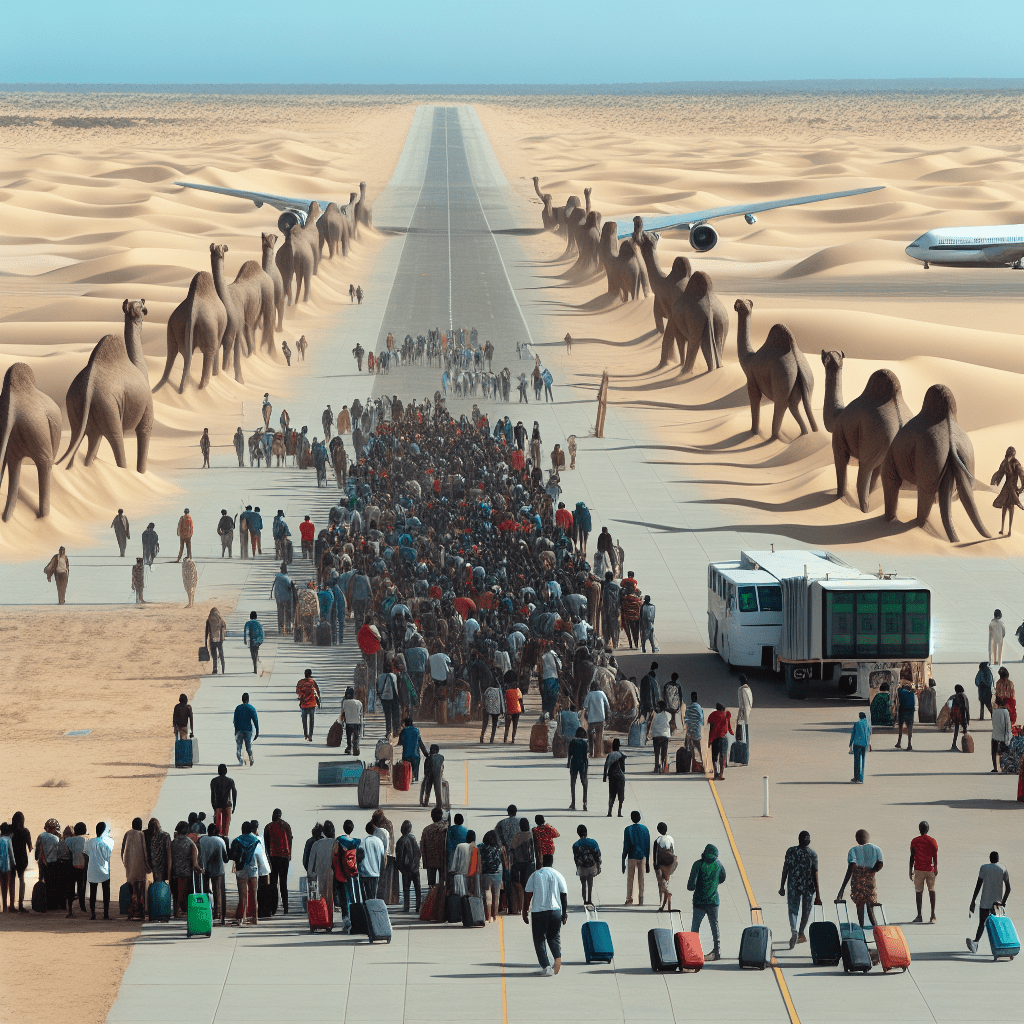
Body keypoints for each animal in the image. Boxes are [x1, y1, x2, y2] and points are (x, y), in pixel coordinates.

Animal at [733, 296, 819, 440]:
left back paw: (774, 438)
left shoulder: (751, 378)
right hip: (806, 381)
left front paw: (754, 432)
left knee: (781, 406)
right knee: (796, 406)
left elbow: (755, 398)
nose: (738, 304)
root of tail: (797, 363)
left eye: (738, 303)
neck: (749, 359)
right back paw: (805, 434)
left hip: (783, 379)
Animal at [823, 352, 913, 512]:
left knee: (863, 476)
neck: (837, 415)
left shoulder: (839, 441)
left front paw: (839, 498)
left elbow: (841, 471)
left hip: (875, 441)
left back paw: (863, 510)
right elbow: (874, 480)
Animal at [884, 385, 987, 544]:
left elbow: (891, 479)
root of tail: (951, 443)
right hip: (962, 458)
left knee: (925, 492)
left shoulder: (893, 456)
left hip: (930, 457)